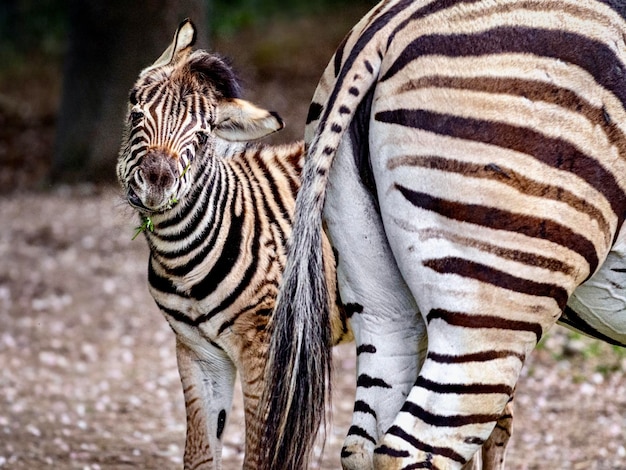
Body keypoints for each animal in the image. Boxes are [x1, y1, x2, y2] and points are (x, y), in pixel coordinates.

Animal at [115, 20, 354, 468]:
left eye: (202, 134)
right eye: (136, 110)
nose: (157, 180)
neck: (183, 261)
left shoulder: (267, 351)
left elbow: (260, 455)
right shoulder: (197, 352)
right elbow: (200, 453)